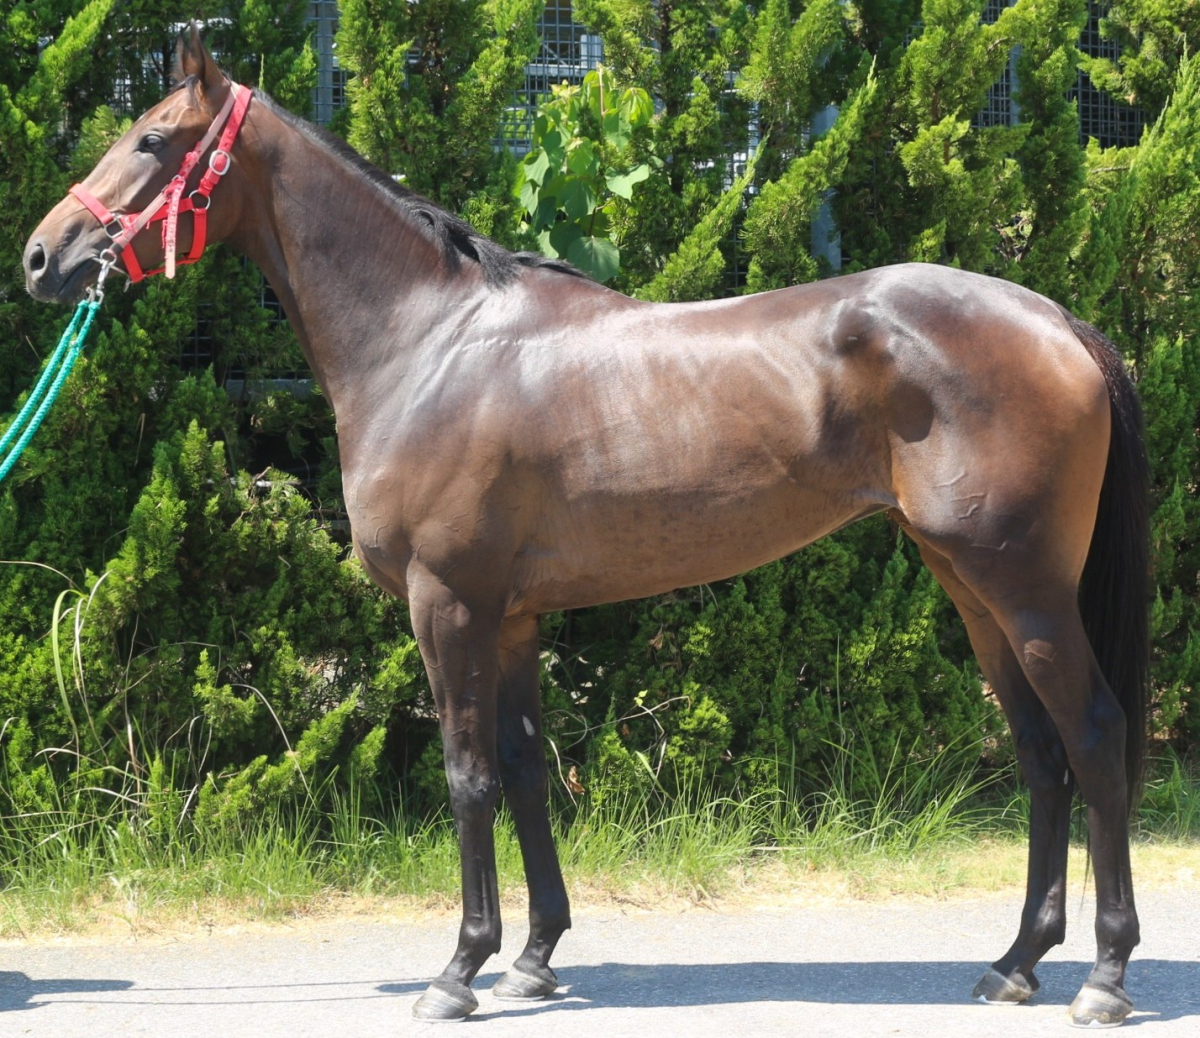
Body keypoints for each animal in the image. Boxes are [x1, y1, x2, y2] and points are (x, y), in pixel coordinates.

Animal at [23, 27, 1148, 1027]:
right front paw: (531, 959)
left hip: (1025, 591)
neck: (428, 344)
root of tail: (1058, 321)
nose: (41, 258)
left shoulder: (450, 606)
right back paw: (1014, 963)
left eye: (153, 139)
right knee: (1039, 752)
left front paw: (457, 972)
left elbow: (468, 777)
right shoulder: (514, 618)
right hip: (973, 590)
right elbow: (526, 772)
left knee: (1092, 739)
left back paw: (1102, 978)